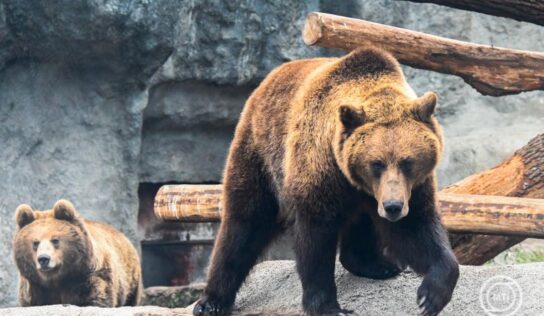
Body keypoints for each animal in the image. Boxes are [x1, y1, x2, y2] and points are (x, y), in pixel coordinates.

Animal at [12, 200, 142, 306]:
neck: (57, 280)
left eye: (55, 240)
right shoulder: (34, 287)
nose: (44, 259)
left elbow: (96, 298)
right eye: (35, 242)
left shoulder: (90, 276)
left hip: (131, 279)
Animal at [194, 47, 460, 316]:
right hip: (259, 152)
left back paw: (378, 264)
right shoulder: (319, 170)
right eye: (376, 163)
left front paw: (431, 295)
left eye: (408, 162)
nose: (392, 206)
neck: (352, 178)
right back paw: (211, 302)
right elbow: (315, 237)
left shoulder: (410, 187)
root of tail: (269, 79)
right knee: (245, 220)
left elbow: (416, 228)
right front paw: (328, 306)